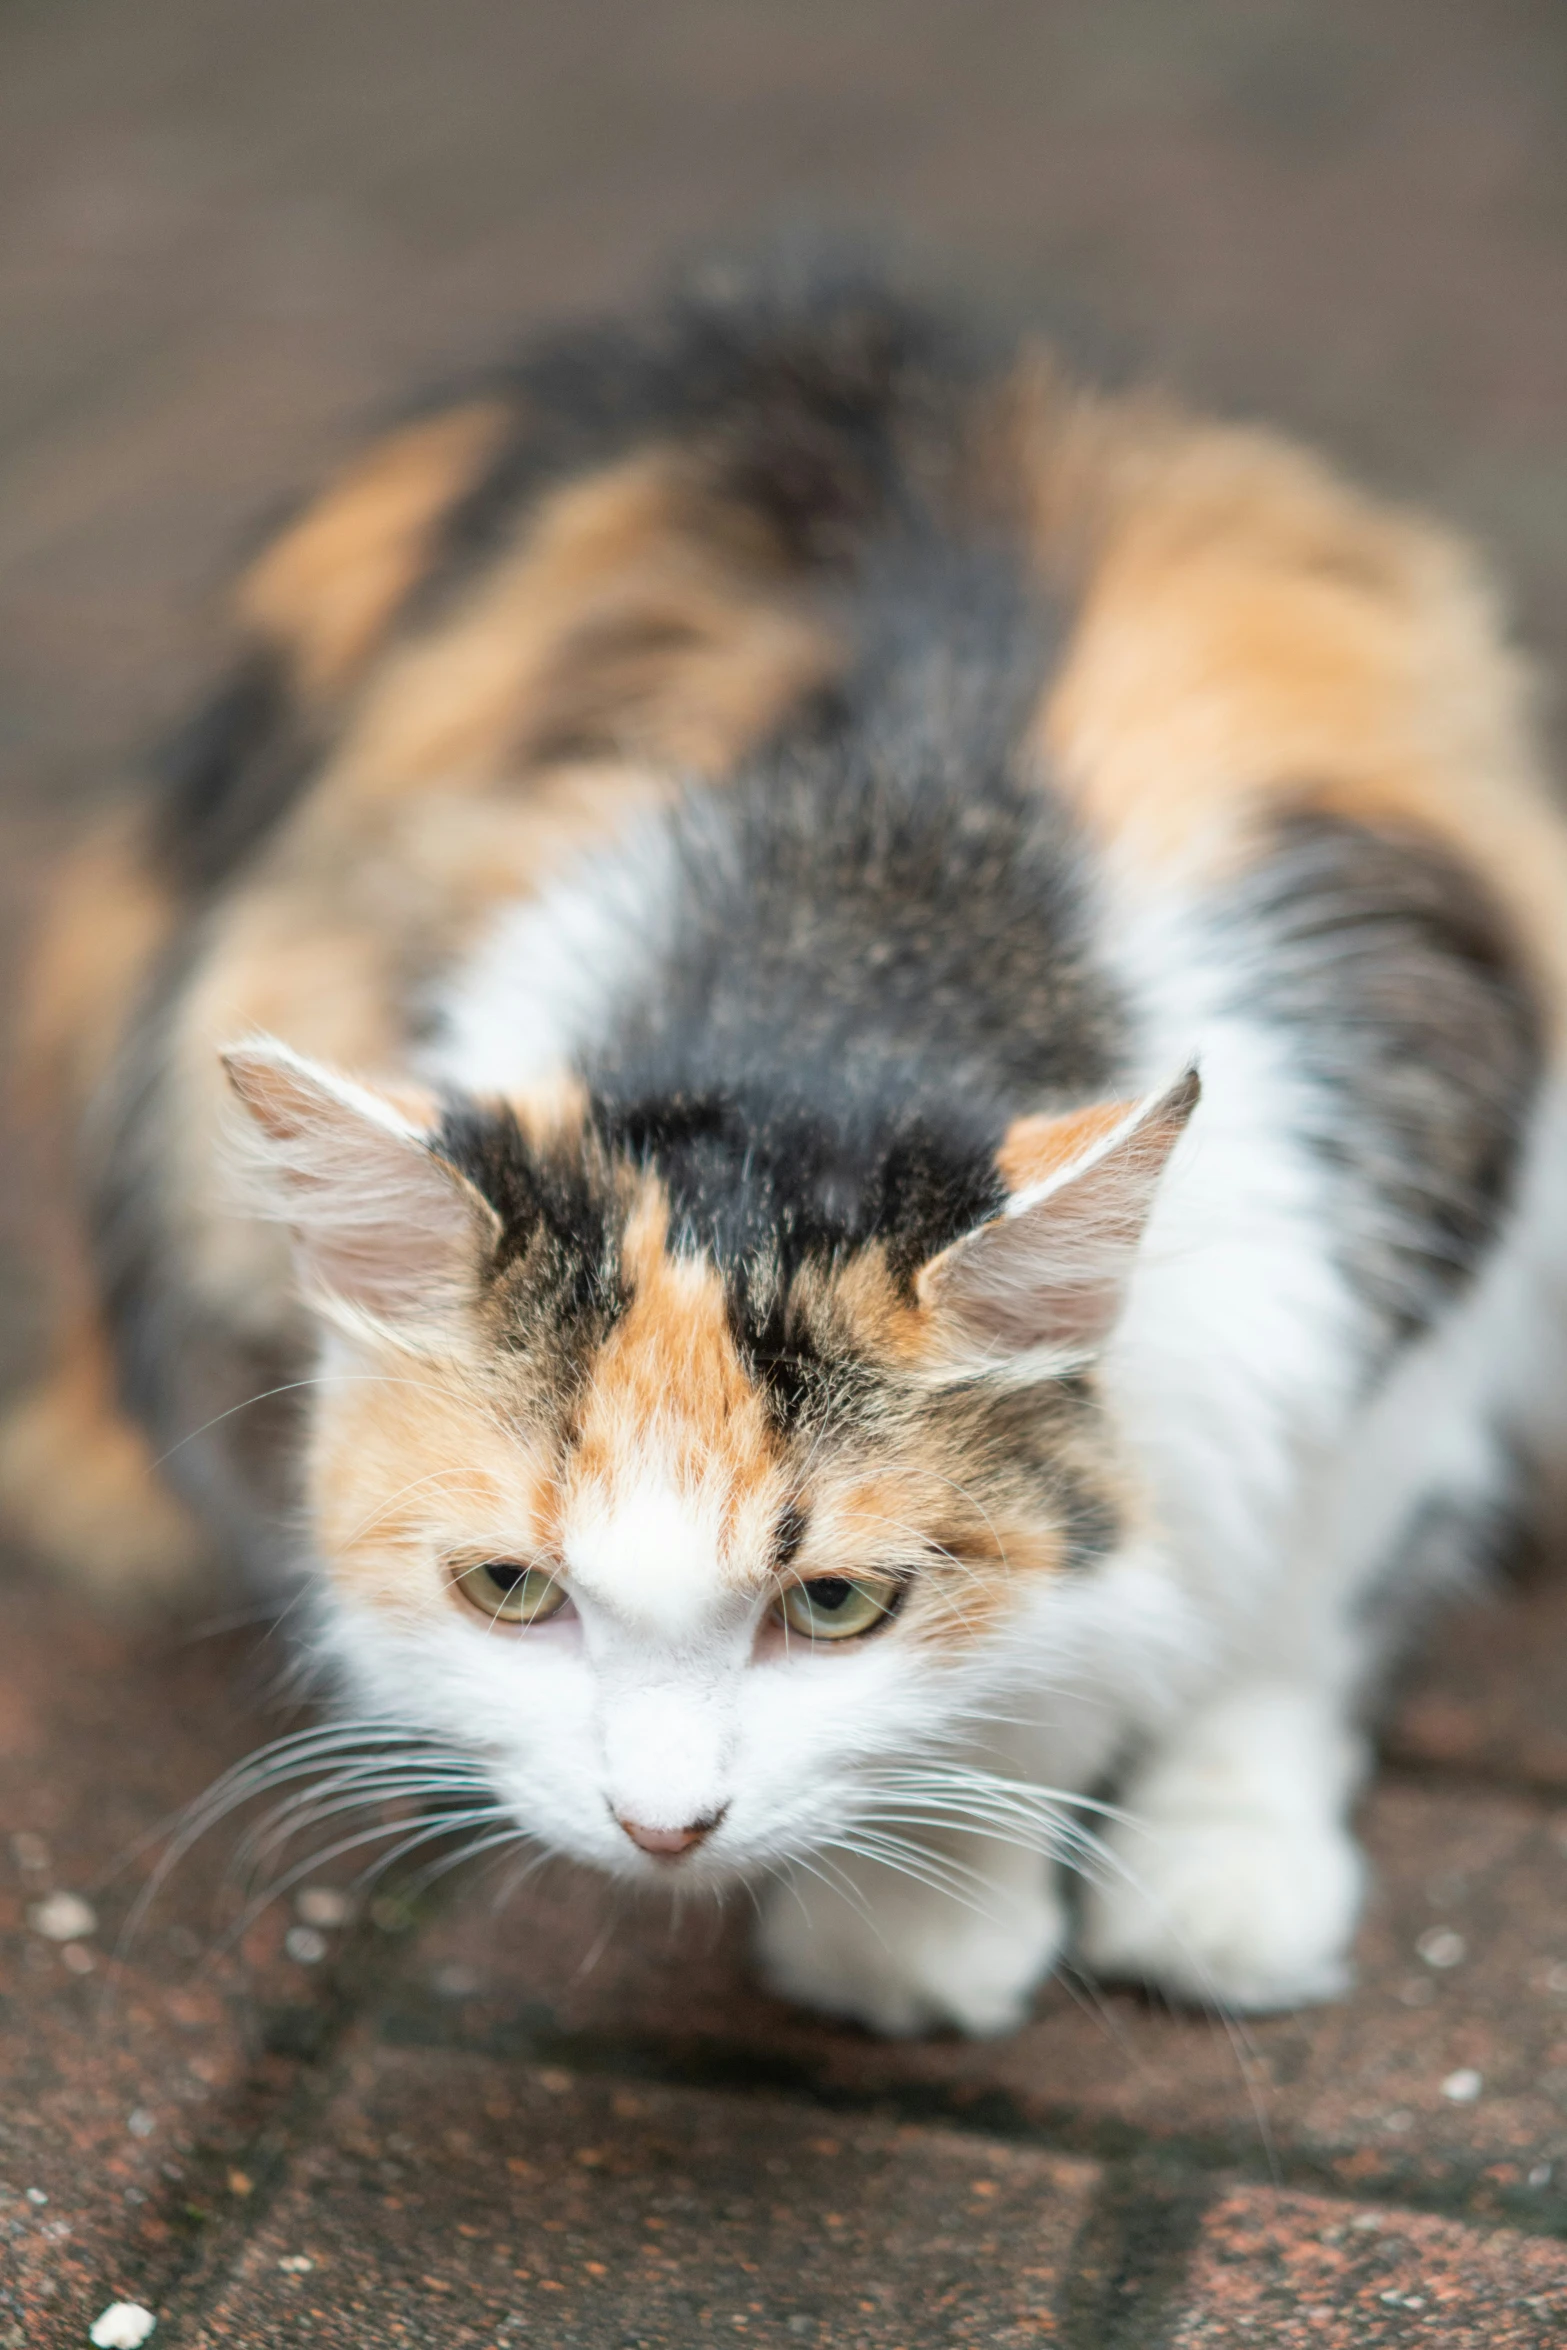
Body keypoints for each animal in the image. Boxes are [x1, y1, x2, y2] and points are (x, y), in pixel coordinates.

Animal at [6, 247, 1559, 2030]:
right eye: (508, 1589)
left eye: (834, 1605)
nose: (661, 1826)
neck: (866, 945)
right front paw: (919, 1921)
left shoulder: (1425, 1179)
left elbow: (1302, 1582)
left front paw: (1215, 1883)